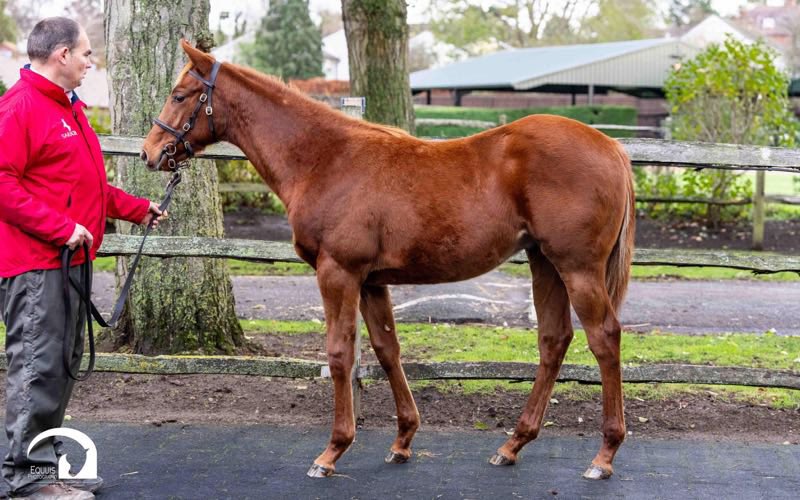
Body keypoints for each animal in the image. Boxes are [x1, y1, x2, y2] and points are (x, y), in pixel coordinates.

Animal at [140, 40, 635, 481]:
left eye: (179, 94)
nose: (150, 152)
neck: (327, 159)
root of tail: (611, 147)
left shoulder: (338, 273)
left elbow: (340, 353)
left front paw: (333, 451)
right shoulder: (372, 282)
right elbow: (386, 350)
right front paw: (402, 441)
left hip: (577, 268)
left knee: (604, 337)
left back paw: (604, 455)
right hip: (544, 262)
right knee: (554, 340)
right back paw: (512, 445)